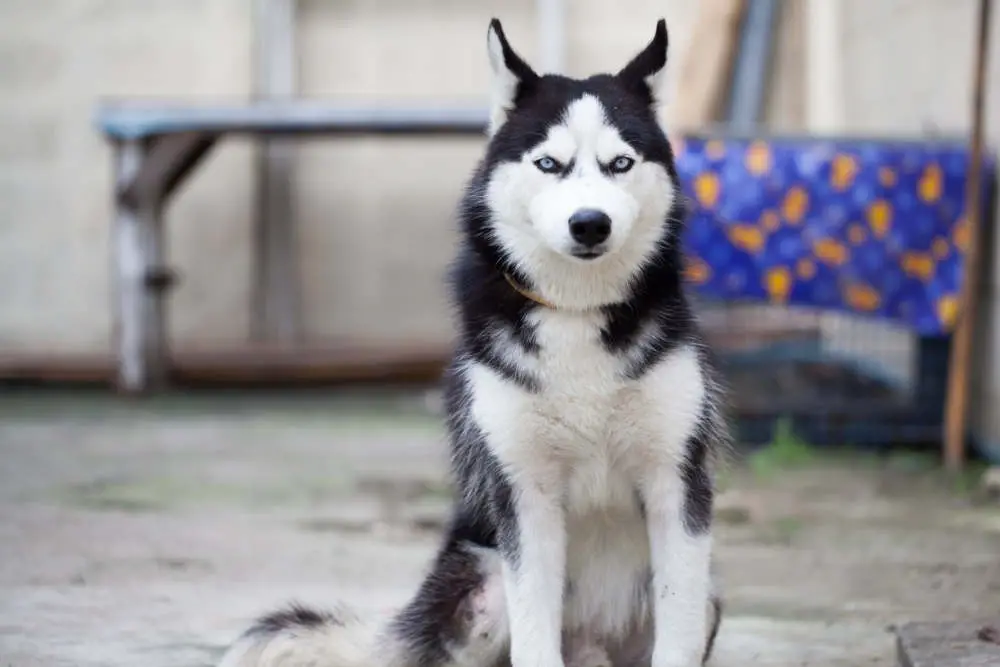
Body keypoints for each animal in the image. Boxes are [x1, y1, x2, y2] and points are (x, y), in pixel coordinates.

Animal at [217, 18, 728, 667]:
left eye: (620, 162)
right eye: (549, 163)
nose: (590, 223)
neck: (576, 310)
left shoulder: (677, 487)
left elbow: (678, 629)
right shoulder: (525, 496)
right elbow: (535, 635)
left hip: (702, 597)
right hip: (481, 592)